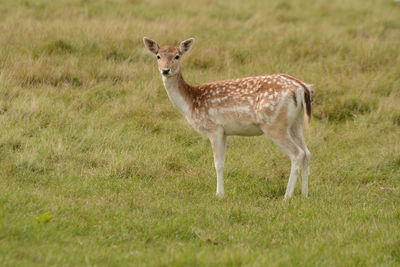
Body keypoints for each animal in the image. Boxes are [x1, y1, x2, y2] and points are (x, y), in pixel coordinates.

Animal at [142, 38, 314, 201]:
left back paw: (287, 196)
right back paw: (304, 194)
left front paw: (219, 194)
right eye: (158, 56)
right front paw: (221, 193)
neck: (191, 103)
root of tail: (301, 88)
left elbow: (217, 163)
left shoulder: (214, 127)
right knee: (307, 152)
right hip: (295, 123)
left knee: (297, 153)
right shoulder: (225, 131)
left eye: (177, 56)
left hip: (274, 124)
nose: (165, 70)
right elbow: (223, 162)